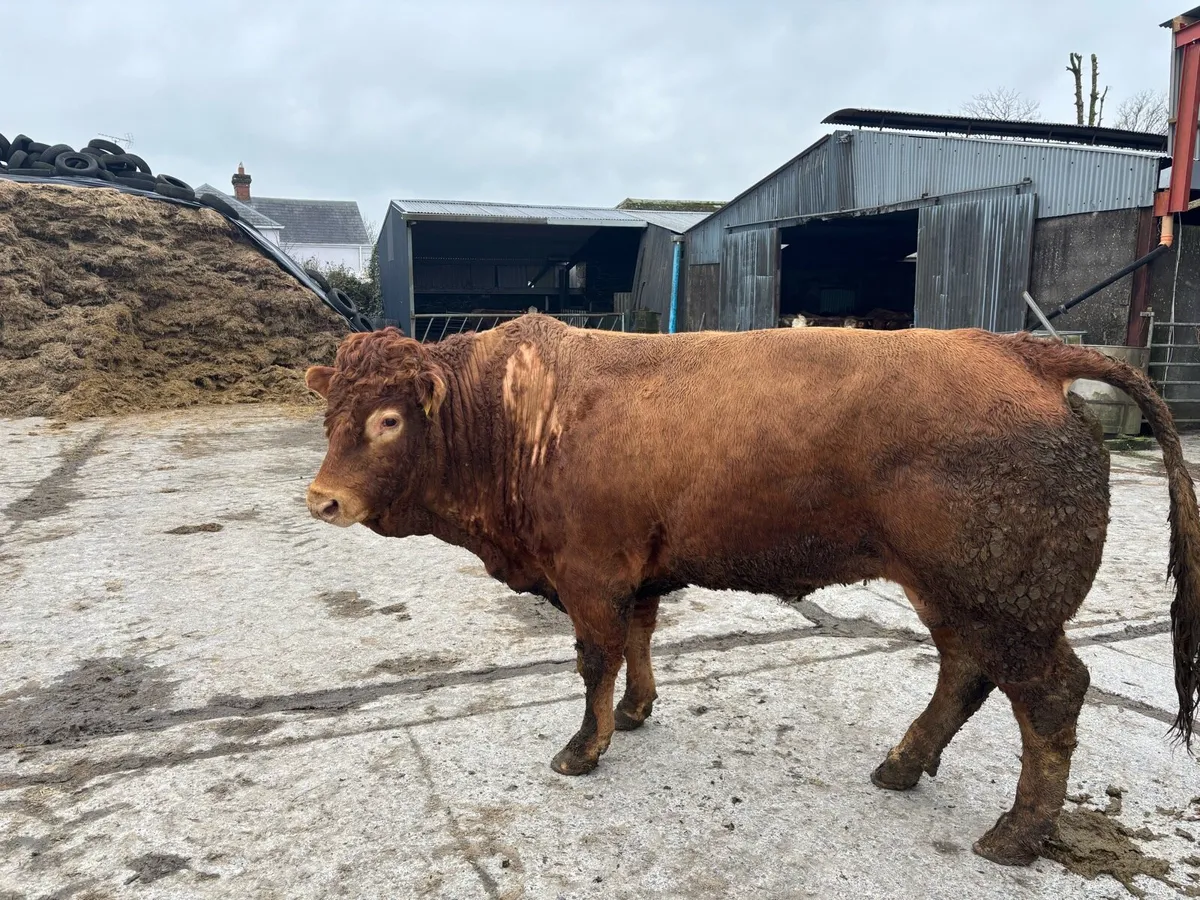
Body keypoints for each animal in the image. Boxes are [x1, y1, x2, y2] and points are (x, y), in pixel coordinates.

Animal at [302, 314, 1200, 867]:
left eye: (387, 419)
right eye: (330, 415)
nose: (323, 500)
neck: (514, 414)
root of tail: (1020, 351)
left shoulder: (590, 574)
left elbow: (595, 658)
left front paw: (583, 749)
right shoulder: (638, 573)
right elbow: (640, 639)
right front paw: (636, 711)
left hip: (1009, 607)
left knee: (1051, 695)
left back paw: (1015, 836)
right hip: (950, 595)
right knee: (964, 673)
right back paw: (903, 766)